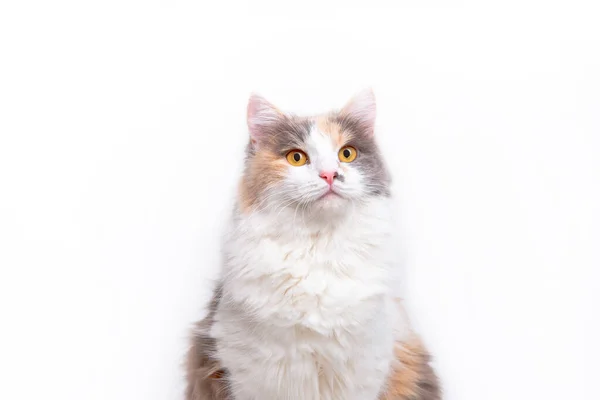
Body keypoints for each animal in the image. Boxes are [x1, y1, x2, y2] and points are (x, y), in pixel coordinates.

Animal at [185, 90, 438, 400]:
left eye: (347, 153)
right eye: (296, 157)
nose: (329, 174)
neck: (318, 246)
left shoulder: (367, 368)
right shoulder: (245, 371)